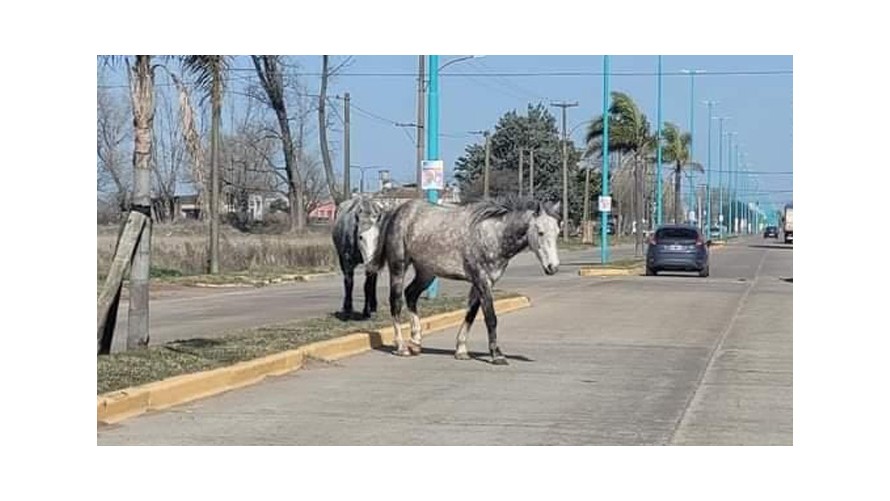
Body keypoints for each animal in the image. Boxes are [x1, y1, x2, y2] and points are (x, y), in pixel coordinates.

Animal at [364, 195, 560, 364]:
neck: (491, 234)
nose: (553, 267)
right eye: (540, 232)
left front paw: (461, 350)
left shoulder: (482, 283)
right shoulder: (481, 281)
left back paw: (416, 342)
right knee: (396, 302)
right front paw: (497, 355)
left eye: (557, 232)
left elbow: (471, 314)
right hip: (399, 267)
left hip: (427, 273)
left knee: (411, 295)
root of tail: (397, 211)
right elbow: (491, 318)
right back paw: (402, 346)